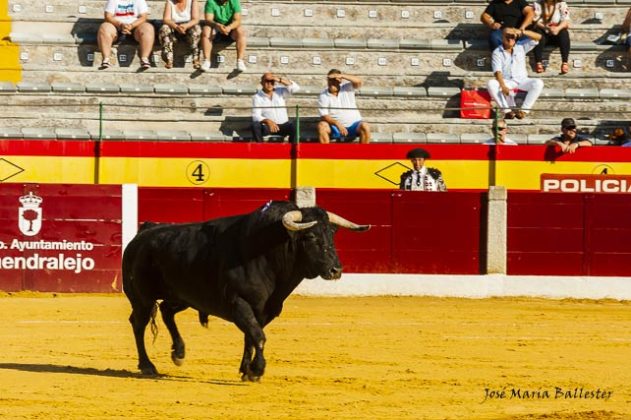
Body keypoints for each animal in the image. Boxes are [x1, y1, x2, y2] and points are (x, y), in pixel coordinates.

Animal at [122, 202, 370, 382]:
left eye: (331, 234)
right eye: (310, 237)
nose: (335, 270)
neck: (267, 255)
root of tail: (145, 231)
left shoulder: (264, 310)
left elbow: (250, 336)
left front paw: (246, 370)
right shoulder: (239, 303)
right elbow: (258, 336)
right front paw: (257, 370)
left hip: (183, 296)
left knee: (166, 311)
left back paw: (179, 353)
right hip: (142, 298)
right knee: (138, 323)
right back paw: (147, 366)